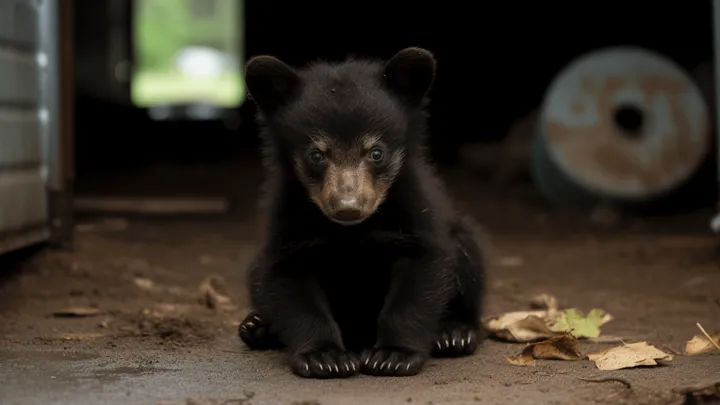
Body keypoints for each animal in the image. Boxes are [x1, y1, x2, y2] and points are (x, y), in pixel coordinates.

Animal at [238, 47, 486, 379]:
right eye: (316, 155)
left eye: (376, 152)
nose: (348, 207)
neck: (351, 231)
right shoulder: (288, 221)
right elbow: (290, 283)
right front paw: (323, 357)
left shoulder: (415, 212)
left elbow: (420, 277)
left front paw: (394, 355)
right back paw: (257, 327)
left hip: (462, 241)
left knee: (468, 257)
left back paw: (454, 333)